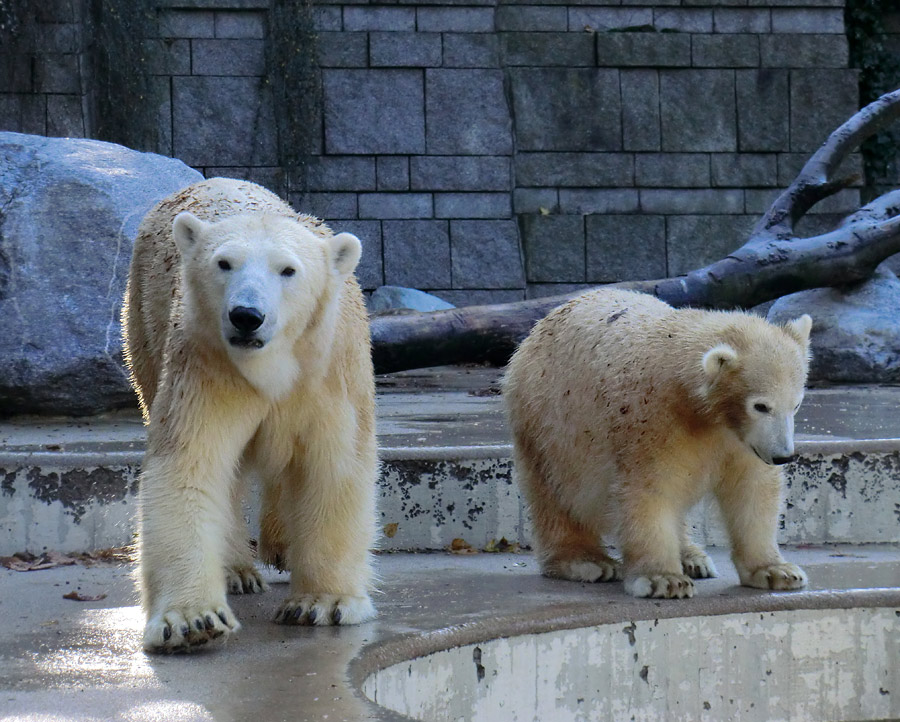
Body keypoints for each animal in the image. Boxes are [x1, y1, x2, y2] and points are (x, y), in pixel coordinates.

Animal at [123, 177, 376, 648]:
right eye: (224, 263)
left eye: (288, 270)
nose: (246, 316)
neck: (273, 364)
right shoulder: (207, 364)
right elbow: (191, 464)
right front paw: (192, 620)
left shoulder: (329, 372)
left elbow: (332, 465)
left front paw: (322, 603)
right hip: (143, 327)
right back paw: (238, 569)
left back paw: (281, 545)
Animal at [502, 286, 812, 596]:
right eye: (761, 406)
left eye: (796, 404)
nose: (783, 455)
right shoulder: (653, 420)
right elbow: (651, 488)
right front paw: (664, 579)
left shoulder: (741, 440)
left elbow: (752, 488)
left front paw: (777, 571)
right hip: (550, 424)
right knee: (558, 494)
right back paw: (586, 562)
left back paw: (693, 557)